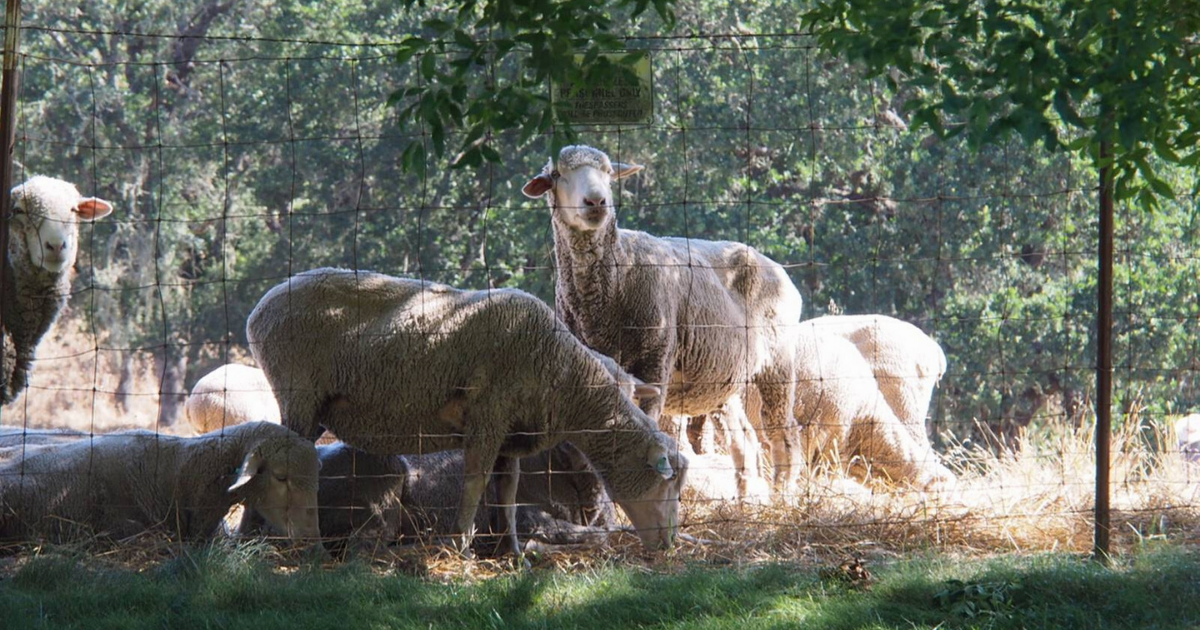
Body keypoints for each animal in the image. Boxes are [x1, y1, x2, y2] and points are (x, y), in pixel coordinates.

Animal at [246, 266, 686, 554]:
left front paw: (512, 552)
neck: (563, 376)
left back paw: (252, 539)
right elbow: (475, 485)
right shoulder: (486, 417)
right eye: (667, 483)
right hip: (299, 394)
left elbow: (506, 493)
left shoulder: (511, 436)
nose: (668, 544)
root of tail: (260, 307)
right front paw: (460, 544)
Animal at [520, 145, 801, 494]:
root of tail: (772, 264)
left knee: (783, 433)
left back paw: (784, 494)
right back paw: (748, 498)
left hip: (779, 362)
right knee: (745, 440)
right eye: (557, 174)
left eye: (609, 172)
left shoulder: (654, 361)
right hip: (724, 378)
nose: (597, 202)